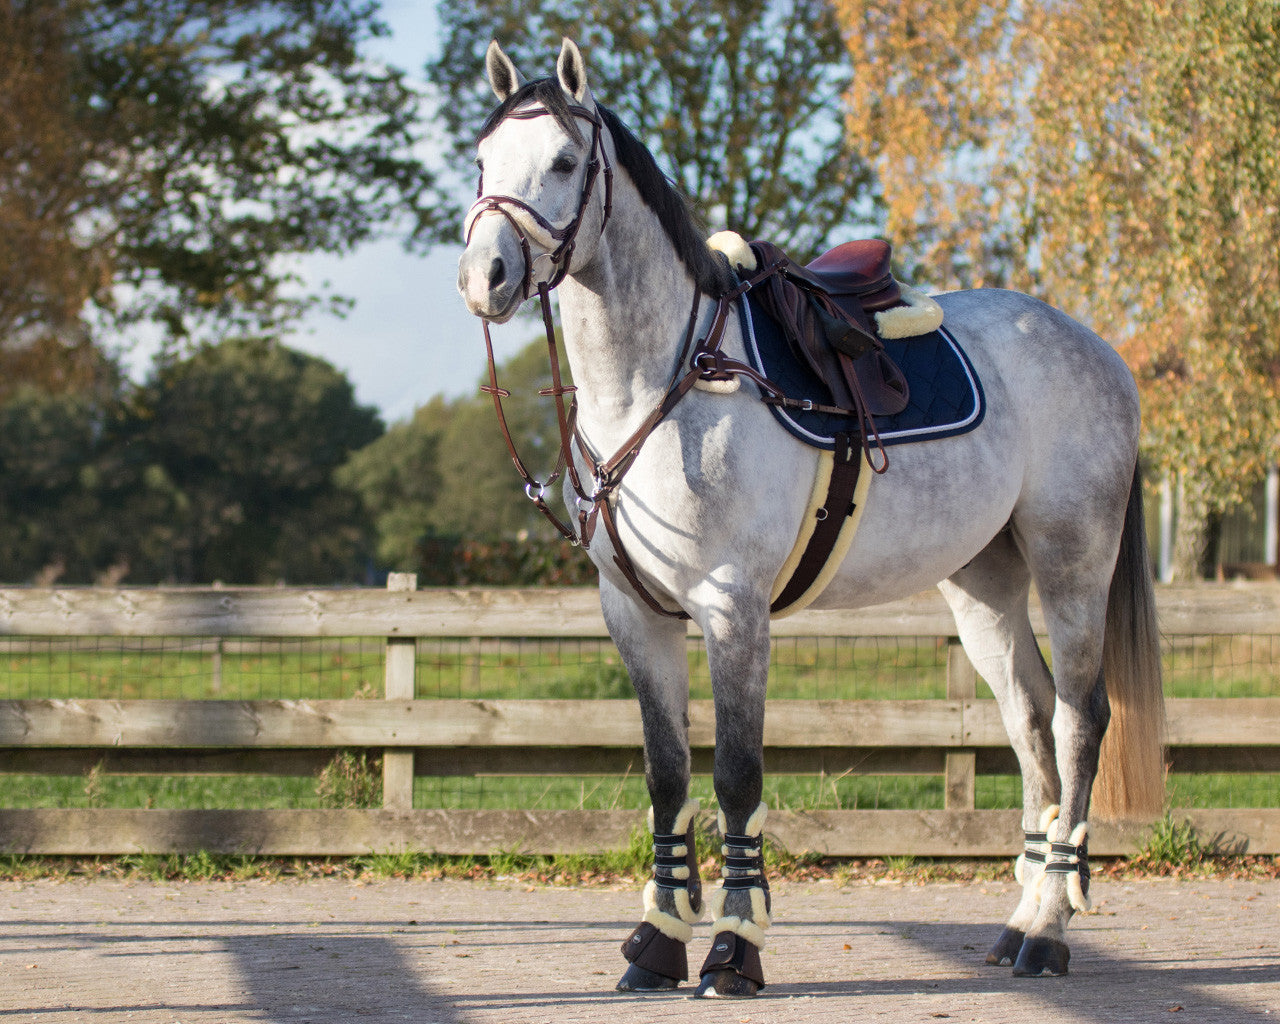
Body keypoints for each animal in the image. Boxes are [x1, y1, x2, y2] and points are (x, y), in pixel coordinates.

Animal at [457, 38, 1166, 998]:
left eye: (566, 162)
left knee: (1079, 722)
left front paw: (733, 947)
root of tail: (1097, 349)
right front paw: (658, 941)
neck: (667, 381)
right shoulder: (636, 613)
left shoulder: (733, 609)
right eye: (484, 161)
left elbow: (735, 776)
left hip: (1072, 565)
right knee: (1030, 723)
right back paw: (1020, 919)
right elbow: (667, 774)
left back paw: (1050, 929)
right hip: (984, 586)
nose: (484, 277)